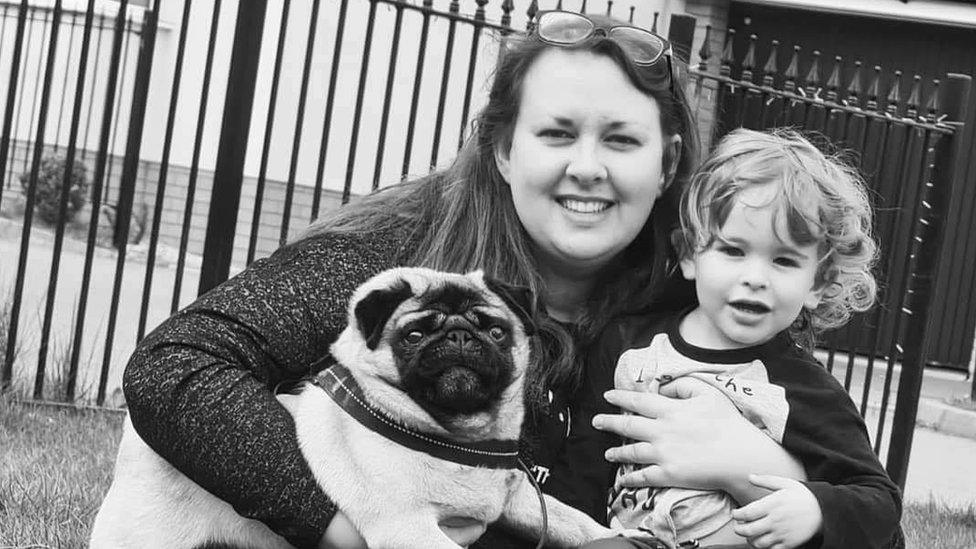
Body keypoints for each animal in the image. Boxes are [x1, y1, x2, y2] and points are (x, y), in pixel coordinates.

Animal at [89, 268, 608, 544]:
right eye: (415, 334)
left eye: (496, 331)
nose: (460, 336)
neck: (457, 439)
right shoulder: (409, 529)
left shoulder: (519, 500)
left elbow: (575, 522)